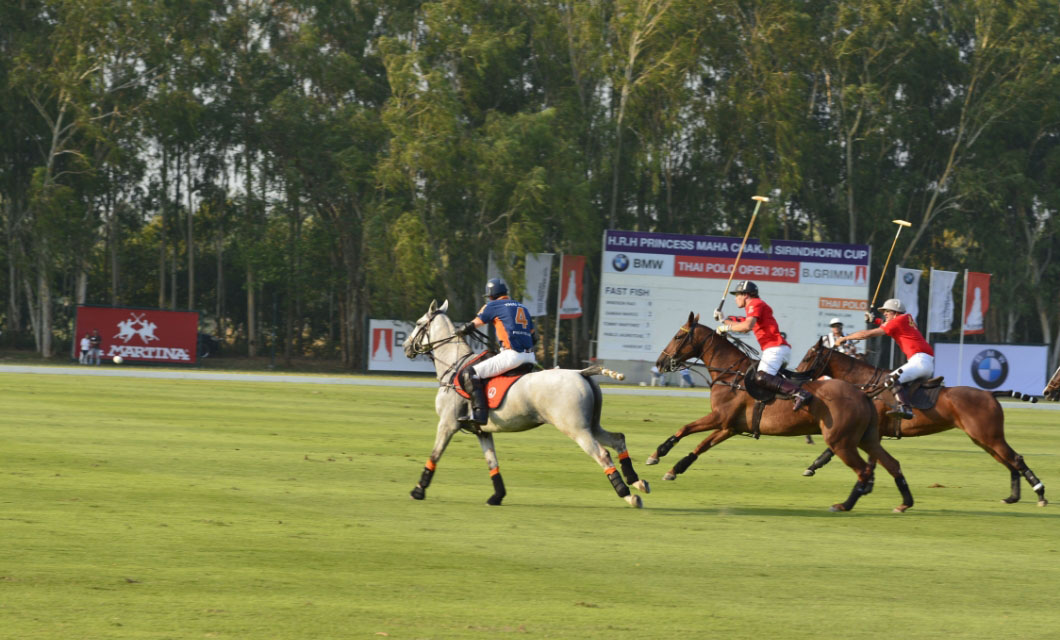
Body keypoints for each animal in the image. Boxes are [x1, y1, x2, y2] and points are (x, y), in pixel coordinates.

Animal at [400, 296, 648, 506]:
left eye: (419, 323)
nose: (405, 347)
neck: (454, 366)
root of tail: (581, 372)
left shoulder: (448, 423)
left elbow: (435, 454)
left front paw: (418, 490)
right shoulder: (482, 431)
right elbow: (492, 462)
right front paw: (497, 496)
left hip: (576, 428)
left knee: (603, 454)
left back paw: (628, 495)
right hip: (591, 424)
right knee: (618, 439)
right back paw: (638, 482)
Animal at [644, 311, 911, 512]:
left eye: (679, 335)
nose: (659, 363)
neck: (730, 374)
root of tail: (863, 394)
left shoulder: (720, 418)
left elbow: (686, 428)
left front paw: (657, 454)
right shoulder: (729, 427)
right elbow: (700, 446)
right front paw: (673, 469)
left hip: (841, 441)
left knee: (864, 470)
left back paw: (844, 505)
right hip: (867, 438)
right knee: (892, 463)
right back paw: (905, 502)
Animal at [797, 336, 1043, 506]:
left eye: (808, 356)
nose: (796, 375)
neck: (866, 385)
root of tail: (990, 394)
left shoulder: (864, 431)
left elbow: (838, 450)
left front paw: (812, 468)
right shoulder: (872, 433)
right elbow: (870, 460)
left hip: (989, 435)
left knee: (1015, 458)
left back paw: (1040, 493)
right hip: (982, 438)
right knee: (1007, 460)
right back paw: (1012, 497)